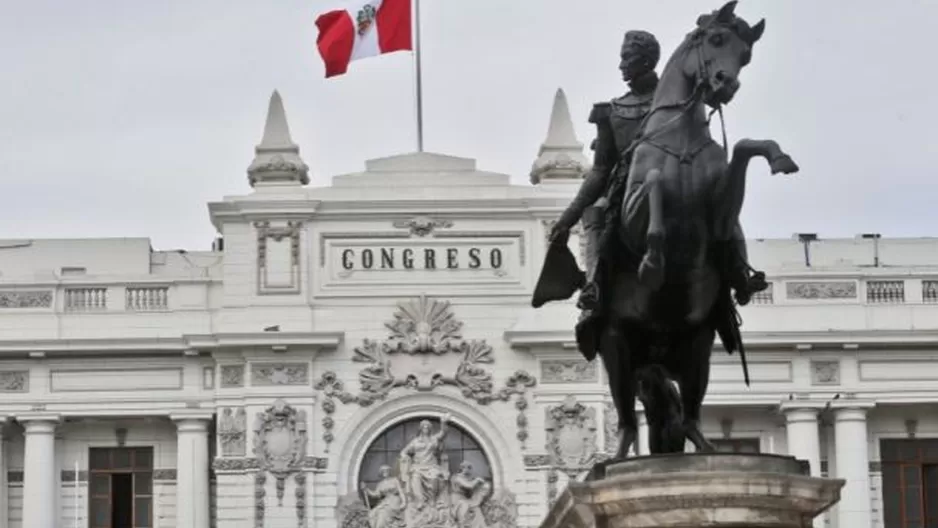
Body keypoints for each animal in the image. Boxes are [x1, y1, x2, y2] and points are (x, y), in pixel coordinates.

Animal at [600, 2, 796, 458]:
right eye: (717, 40)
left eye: (746, 55)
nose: (726, 86)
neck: (680, 136)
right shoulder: (631, 214)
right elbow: (654, 183)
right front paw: (653, 262)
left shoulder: (720, 217)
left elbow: (743, 147)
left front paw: (778, 155)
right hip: (617, 347)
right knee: (626, 420)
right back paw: (611, 460)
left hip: (697, 344)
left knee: (689, 413)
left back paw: (707, 449)